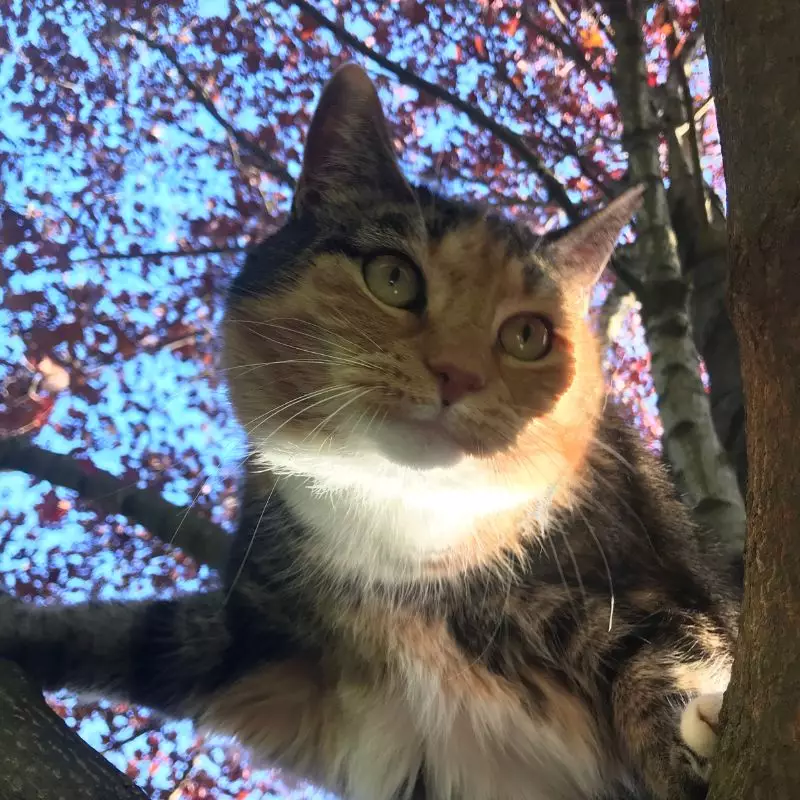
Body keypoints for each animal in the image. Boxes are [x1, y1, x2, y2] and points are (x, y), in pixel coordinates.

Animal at [0, 64, 736, 800]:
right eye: (392, 275)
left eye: (527, 335)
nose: (458, 373)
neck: (400, 521)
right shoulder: (270, 643)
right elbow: (132, 633)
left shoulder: (639, 590)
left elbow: (667, 655)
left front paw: (692, 738)